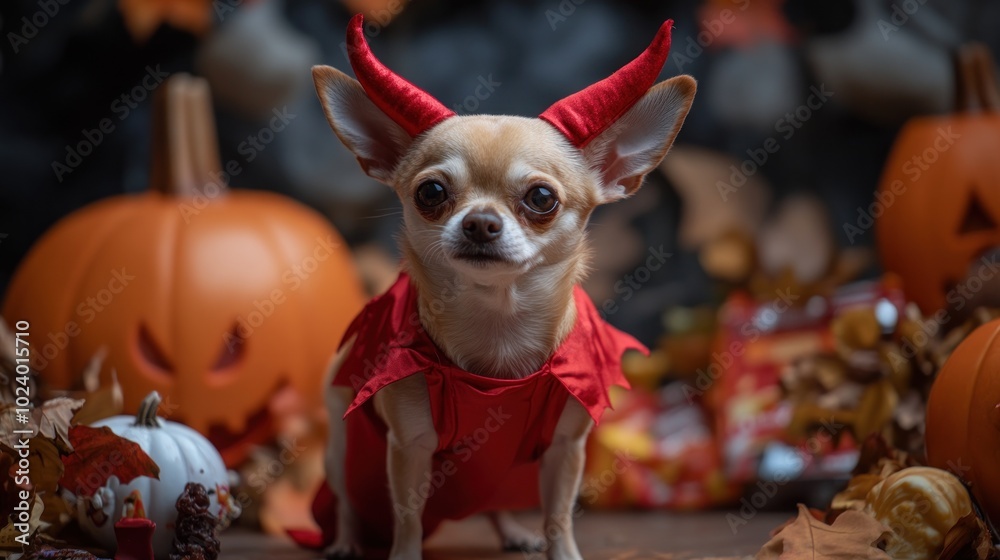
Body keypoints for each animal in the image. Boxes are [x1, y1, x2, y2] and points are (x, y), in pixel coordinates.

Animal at [312, 13, 696, 560]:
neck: (499, 325)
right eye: (431, 192)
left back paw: (513, 530)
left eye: (541, 198)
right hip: (339, 447)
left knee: (494, 501)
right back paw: (344, 541)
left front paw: (561, 551)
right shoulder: (408, 449)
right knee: (345, 500)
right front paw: (403, 553)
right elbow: (407, 521)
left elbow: (558, 516)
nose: (479, 222)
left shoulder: (565, 449)